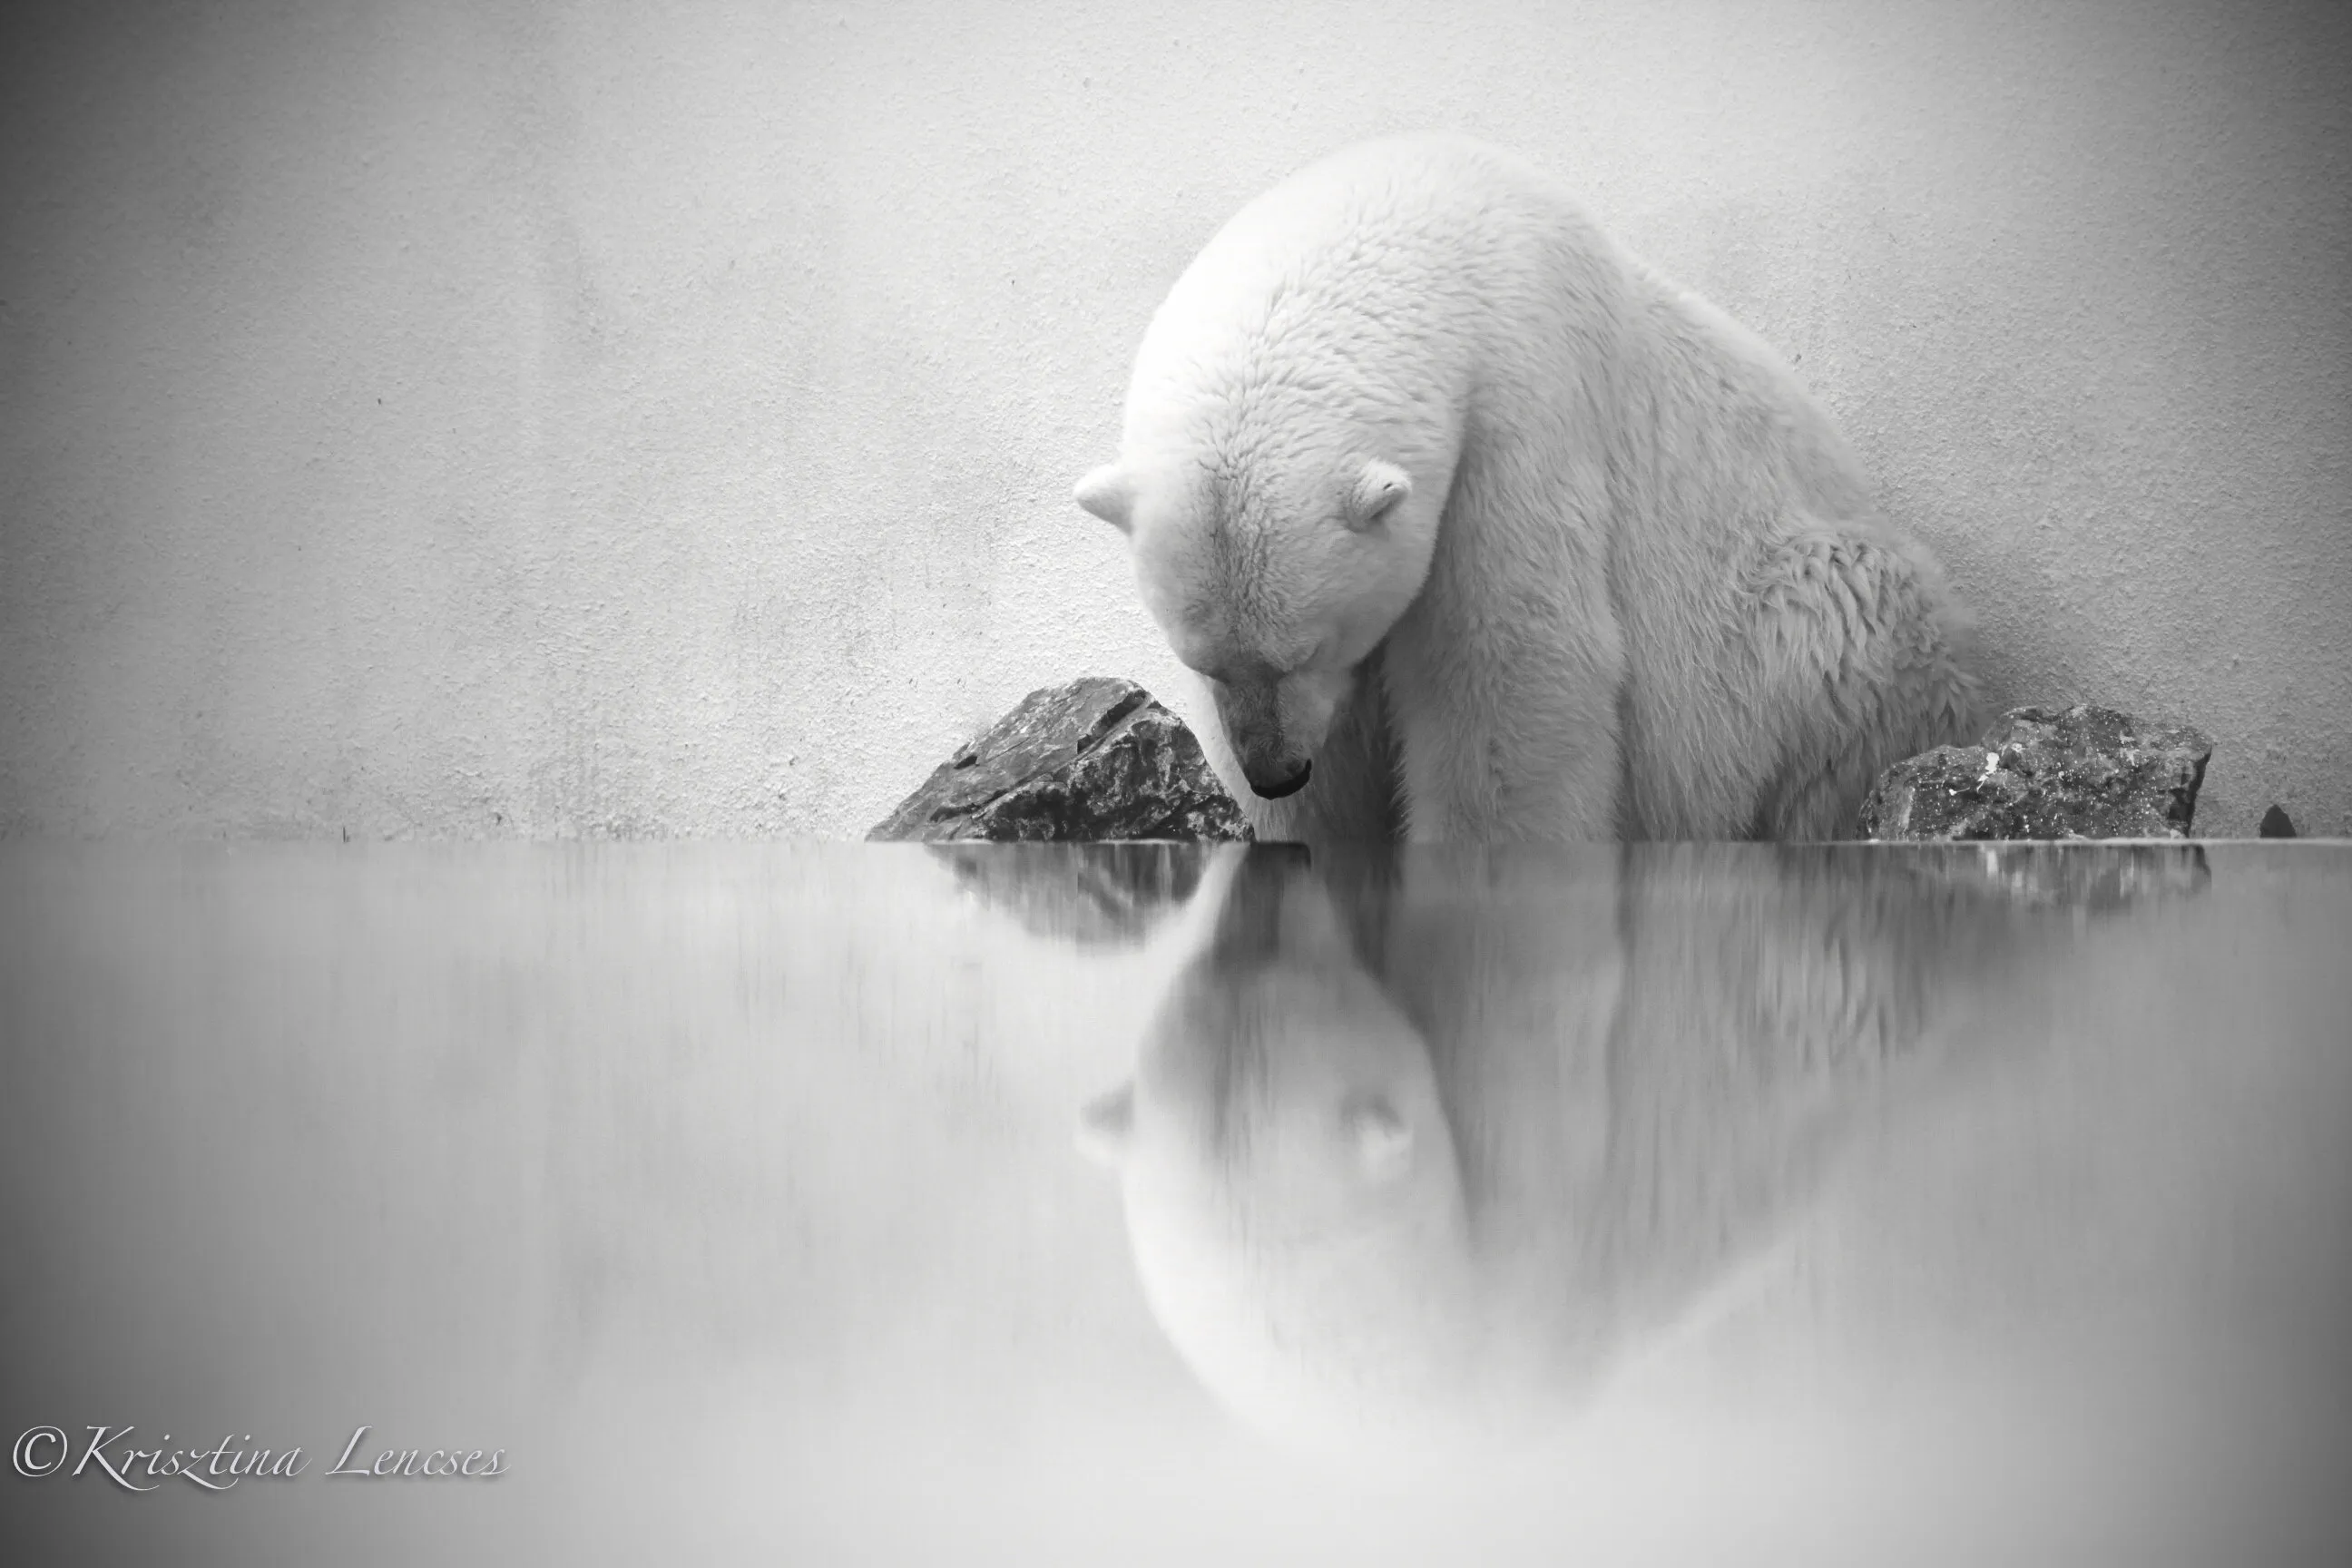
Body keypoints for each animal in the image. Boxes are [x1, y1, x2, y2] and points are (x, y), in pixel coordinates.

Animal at [1073, 133, 1981, 845]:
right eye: (1203, 663)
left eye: (1310, 647)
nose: (1275, 771)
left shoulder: (1520, 410)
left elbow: (1512, 676)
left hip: (1814, 630)